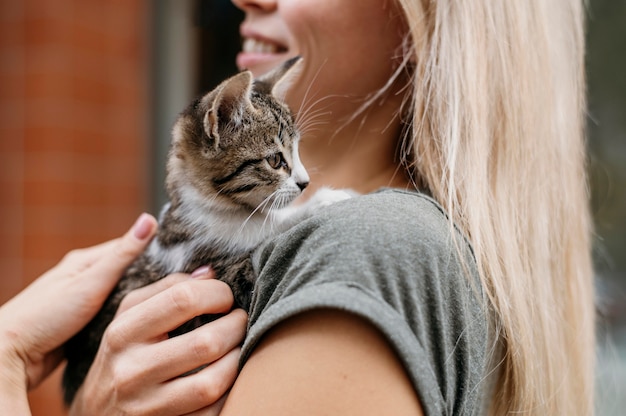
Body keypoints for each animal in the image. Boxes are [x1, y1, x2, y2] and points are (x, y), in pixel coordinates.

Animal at [62, 57, 352, 404]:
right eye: (274, 160)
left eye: (297, 152)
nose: (305, 182)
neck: (217, 208)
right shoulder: (219, 268)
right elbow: (264, 228)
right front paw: (325, 200)